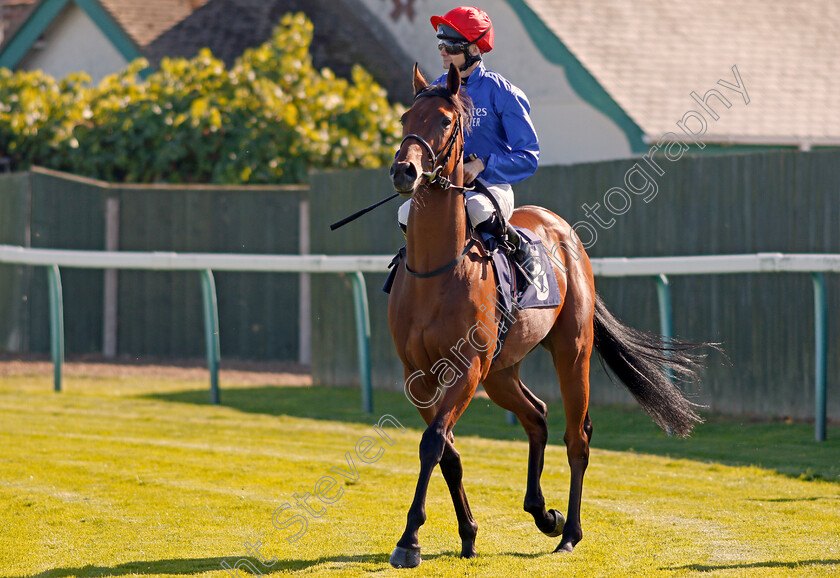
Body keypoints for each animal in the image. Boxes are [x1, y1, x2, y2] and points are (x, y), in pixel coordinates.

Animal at [388, 62, 708, 564]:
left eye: (444, 120)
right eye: (405, 118)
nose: (405, 169)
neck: (435, 271)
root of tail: (561, 229)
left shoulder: (468, 368)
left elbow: (434, 442)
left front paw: (409, 540)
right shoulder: (417, 375)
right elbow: (448, 452)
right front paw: (467, 533)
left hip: (570, 352)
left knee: (577, 437)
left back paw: (569, 531)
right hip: (501, 371)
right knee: (536, 416)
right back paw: (543, 513)